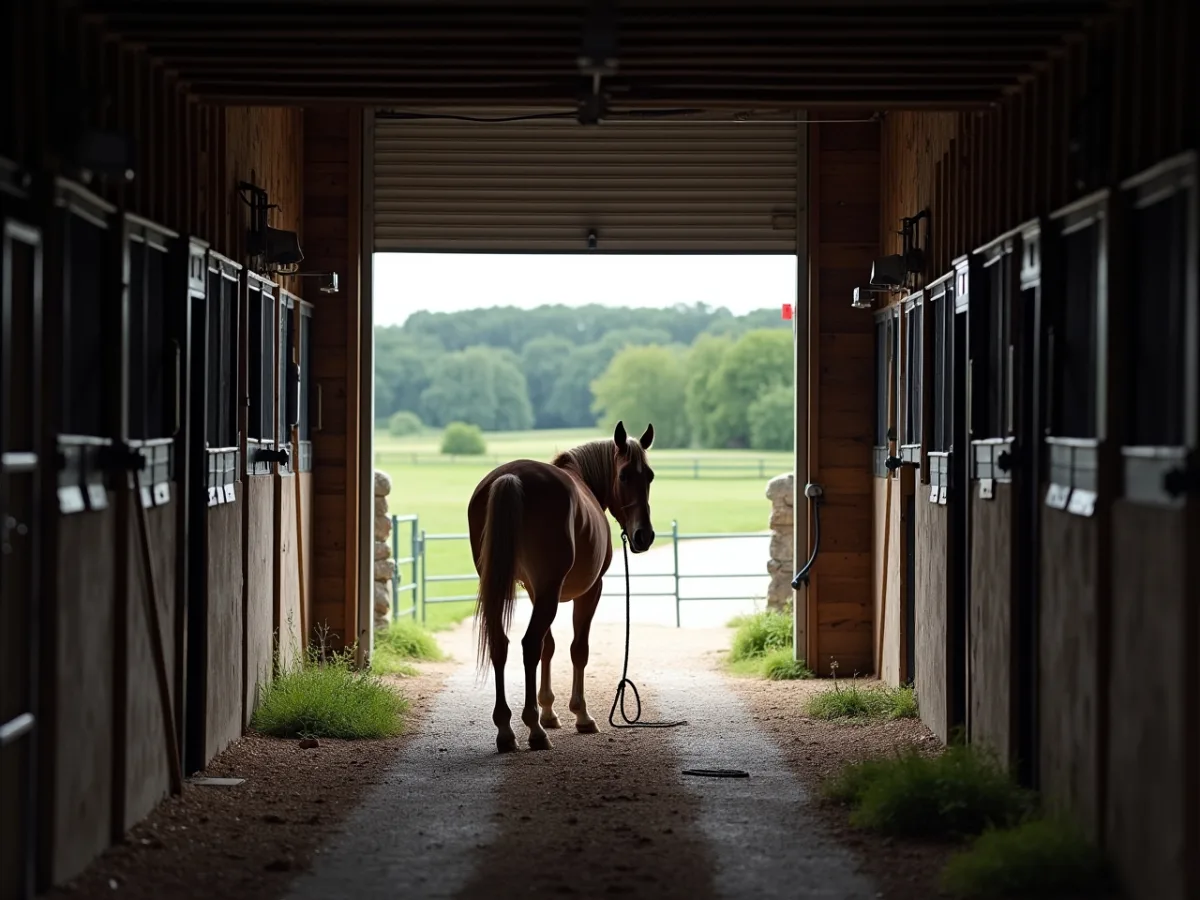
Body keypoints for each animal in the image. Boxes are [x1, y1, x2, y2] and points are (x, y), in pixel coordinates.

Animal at [467, 421, 656, 752]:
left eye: (650, 475)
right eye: (624, 475)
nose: (643, 536)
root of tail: (511, 477)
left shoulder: (536, 590)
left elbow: (550, 647)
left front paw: (549, 711)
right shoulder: (589, 590)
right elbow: (577, 649)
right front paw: (580, 715)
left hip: (503, 586)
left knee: (501, 644)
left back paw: (506, 729)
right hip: (551, 593)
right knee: (529, 644)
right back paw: (533, 730)